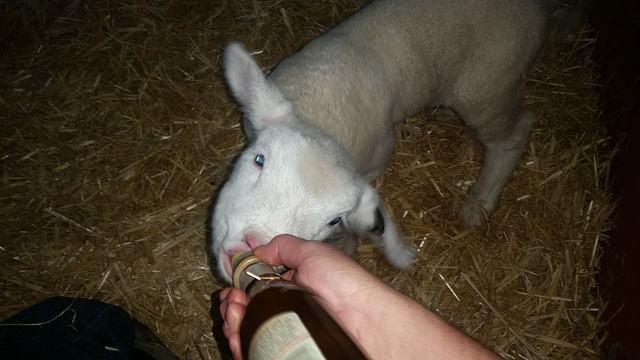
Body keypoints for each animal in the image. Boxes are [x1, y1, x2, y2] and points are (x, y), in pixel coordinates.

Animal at [211, 0, 552, 284]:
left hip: (488, 86)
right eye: (259, 160)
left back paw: (478, 204)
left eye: (333, 220)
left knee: (514, 134)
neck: (320, 114)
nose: (252, 245)